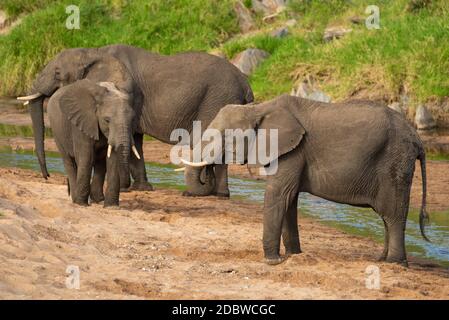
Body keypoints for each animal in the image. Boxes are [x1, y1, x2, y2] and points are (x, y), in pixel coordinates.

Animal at [17, 43, 254, 196]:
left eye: (57, 73)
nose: (47, 176)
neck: (93, 52)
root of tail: (245, 82)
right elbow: (135, 141)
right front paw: (141, 188)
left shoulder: (124, 93)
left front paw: (124, 188)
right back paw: (219, 193)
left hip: (217, 99)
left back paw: (204, 193)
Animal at [180, 94, 428, 264]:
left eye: (224, 137)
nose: (208, 173)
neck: (259, 108)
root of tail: (417, 138)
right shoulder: (291, 152)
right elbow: (289, 200)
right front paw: (293, 255)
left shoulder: (293, 151)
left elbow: (279, 195)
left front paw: (272, 261)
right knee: (387, 217)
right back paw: (381, 260)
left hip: (395, 164)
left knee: (393, 214)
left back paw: (394, 263)